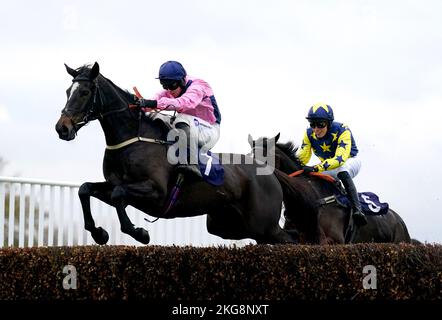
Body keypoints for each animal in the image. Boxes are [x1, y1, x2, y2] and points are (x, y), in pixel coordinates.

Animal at [55, 62, 296, 245]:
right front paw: (99, 233)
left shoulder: (156, 190)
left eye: (85, 92)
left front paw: (140, 233)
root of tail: (268, 171)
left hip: (264, 225)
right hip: (233, 227)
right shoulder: (116, 184)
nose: (62, 128)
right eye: (67, 92)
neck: (134, 140)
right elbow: (86, 189)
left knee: (292, 239)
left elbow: (118, 194)